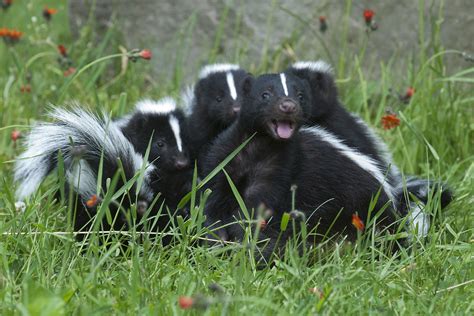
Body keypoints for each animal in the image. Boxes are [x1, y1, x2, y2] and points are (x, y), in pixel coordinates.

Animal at [202, 73, 398, 260]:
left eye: (300, 96)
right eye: (265, 95)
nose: (288, 106)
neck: (259, 144)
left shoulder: (281, 165)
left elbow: (256, 204)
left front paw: (241, 234)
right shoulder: (226, 154)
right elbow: (214, 194)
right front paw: (216, 235)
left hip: (353, 203)